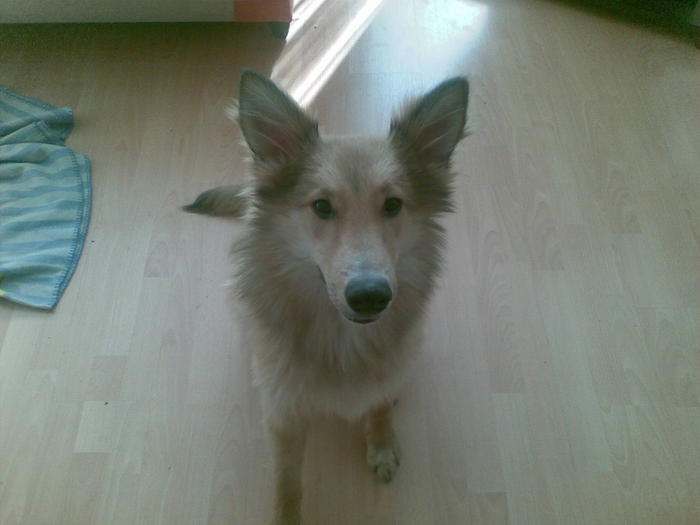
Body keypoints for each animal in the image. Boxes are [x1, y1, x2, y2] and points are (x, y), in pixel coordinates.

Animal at [184, 70, 469, 525]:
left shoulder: (388, 364)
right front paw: (286, 515)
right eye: (321, 206)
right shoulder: (284, 416)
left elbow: (379, 403)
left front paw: (381, 440)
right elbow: (287, 482)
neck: (344, 337)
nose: (370, 297)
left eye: (393, 205)